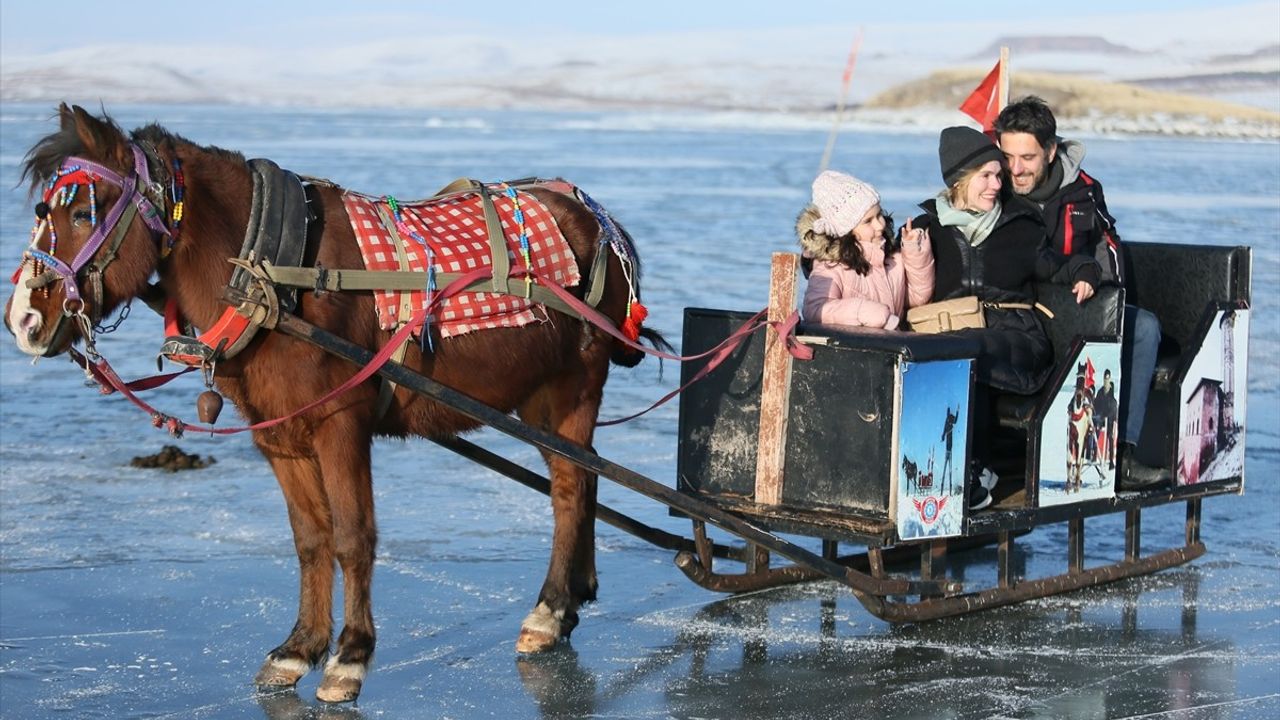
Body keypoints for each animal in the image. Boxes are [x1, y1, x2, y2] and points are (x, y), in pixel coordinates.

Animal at [5, 105, 655, 702]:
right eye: (43, 212)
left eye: (84, 212)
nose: (24, 320)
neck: (271, 272)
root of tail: (599, 220)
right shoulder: (280, 435)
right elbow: (311, 539)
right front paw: (300, 648)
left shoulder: (341, 425)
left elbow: (352, 536)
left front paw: (350, 656)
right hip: (538, 402)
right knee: (585, 479)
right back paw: (574, 598)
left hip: (572, 386)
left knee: (571, 487)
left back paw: (549, 611)